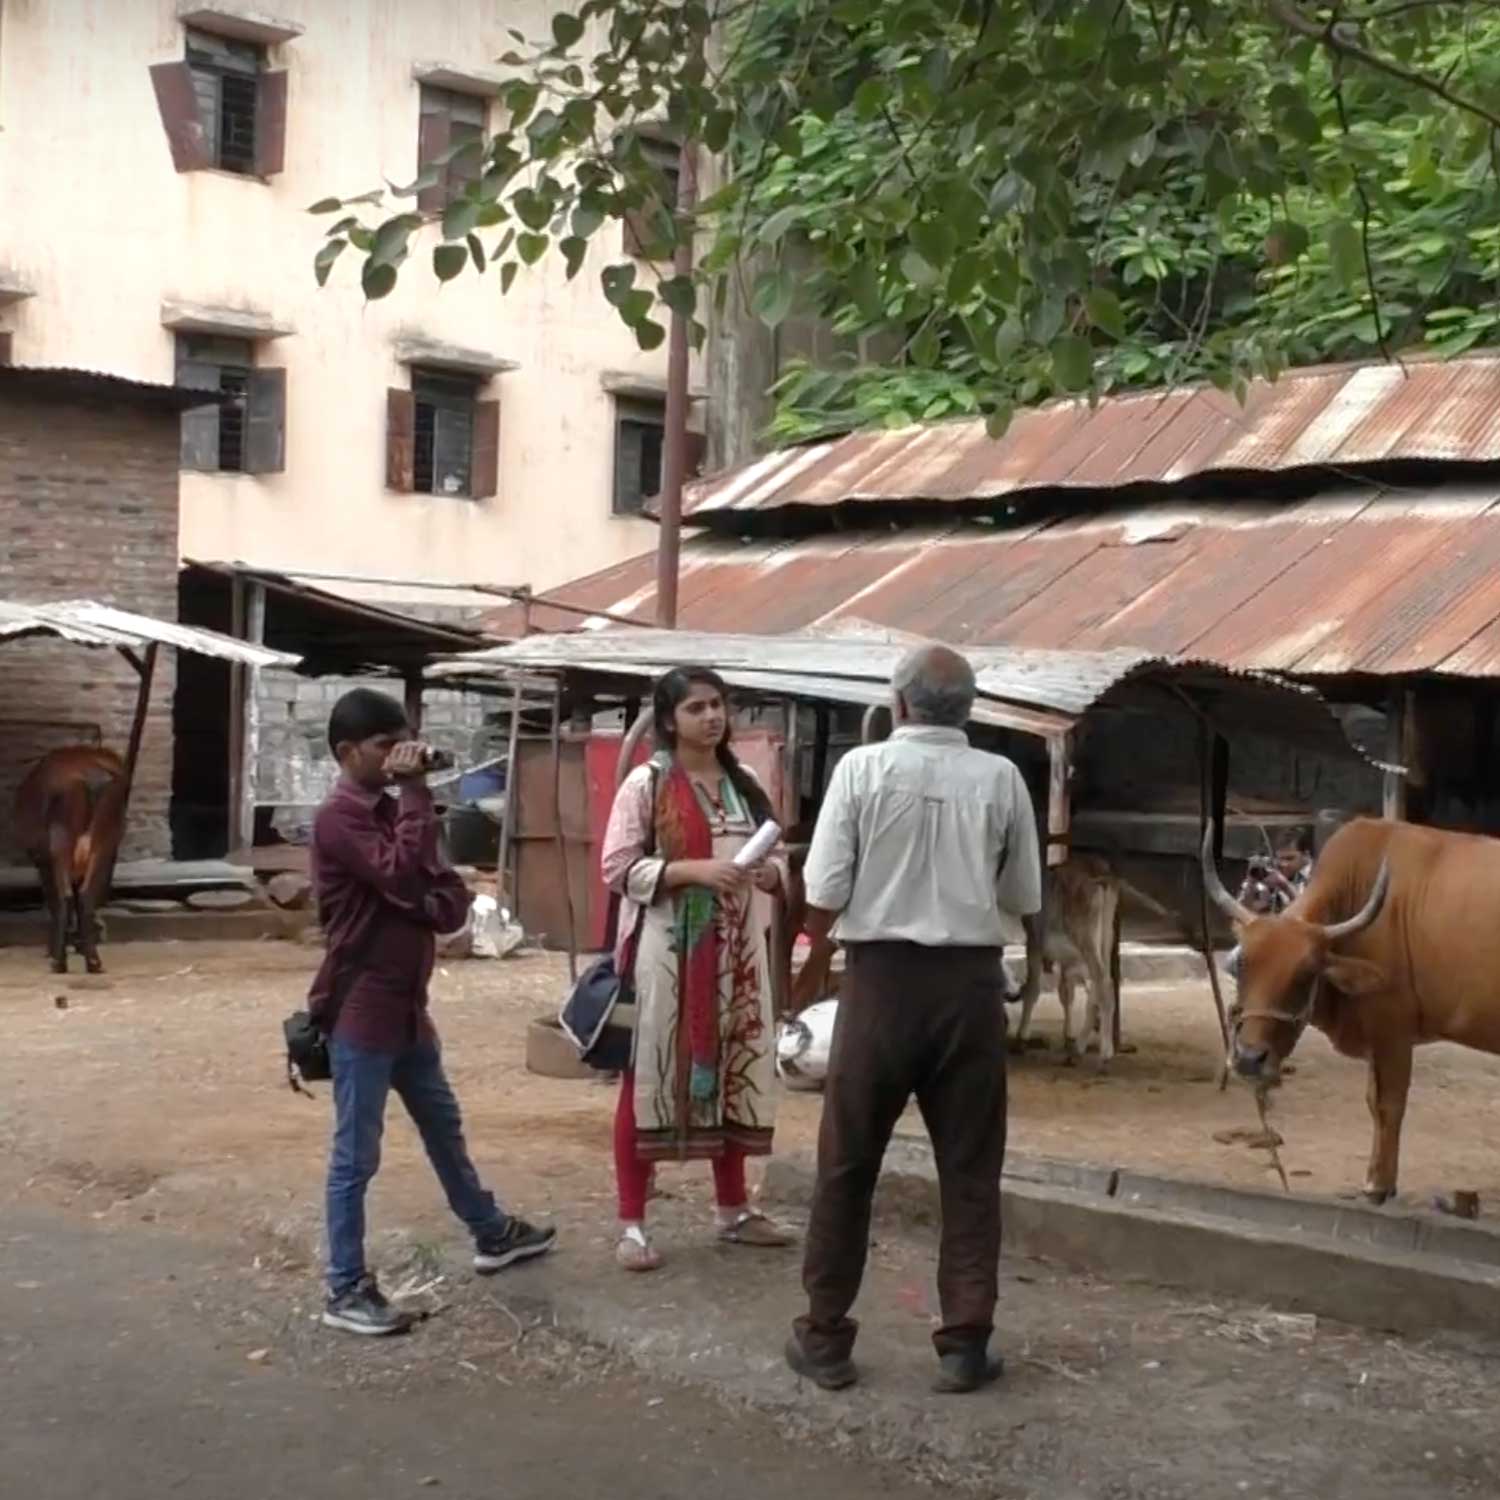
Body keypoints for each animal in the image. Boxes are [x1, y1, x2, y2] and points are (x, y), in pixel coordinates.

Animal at [13, 747, 129, 972]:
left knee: (64, 896)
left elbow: (53, 900)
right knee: (86, 895)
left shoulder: (42, 861)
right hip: (104, 843)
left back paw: (58, 962)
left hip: (61, 840)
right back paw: (93, 962)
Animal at [1200, 816, 1500, 1200]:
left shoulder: (1393, 1033)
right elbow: (1373, 1102)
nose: (1250, 1059)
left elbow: (1389, 1105)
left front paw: (1378, 1184)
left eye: (1305, 973)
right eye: (1242, 965)